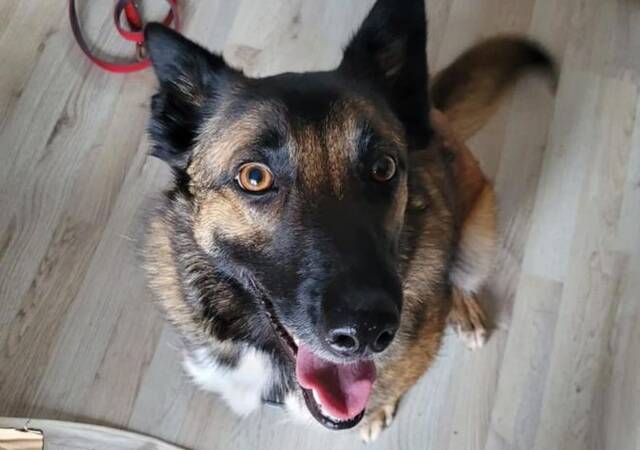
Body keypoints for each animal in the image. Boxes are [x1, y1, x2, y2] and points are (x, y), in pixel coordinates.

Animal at [142, 0, 555, 441]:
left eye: (383, 168)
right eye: (254, 178)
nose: (366, 332)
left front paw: (376, 412)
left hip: (478, 231)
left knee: (460, 272)